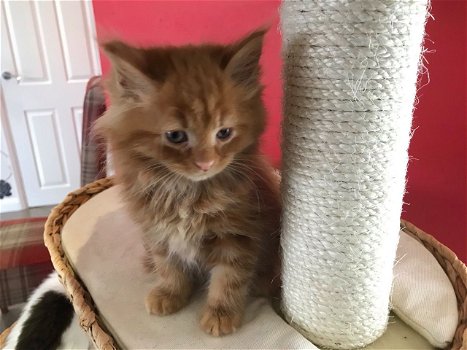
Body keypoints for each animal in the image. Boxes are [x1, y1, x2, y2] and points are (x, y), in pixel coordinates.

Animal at [95, 29, 282, 336]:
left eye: (224, 133)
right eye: (175, 136)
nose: (205, 163)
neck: (185, 192)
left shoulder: (239, 233)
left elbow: (229, 277)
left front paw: (220, 314)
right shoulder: (157, 230)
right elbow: (168, 266)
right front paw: (169, 293)